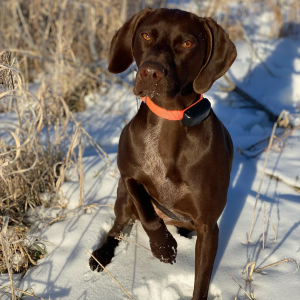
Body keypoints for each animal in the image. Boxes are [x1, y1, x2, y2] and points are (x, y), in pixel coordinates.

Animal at [89, 7, 237, 300]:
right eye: (146, 35)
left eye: (187, 43)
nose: (151, 72)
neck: (168, 118)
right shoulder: (128, 175)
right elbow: (148, 214)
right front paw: (163, 248)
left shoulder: (207, 226)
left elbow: (201, 281)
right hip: (122, 199)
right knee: (117, 226)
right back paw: (102, 253)